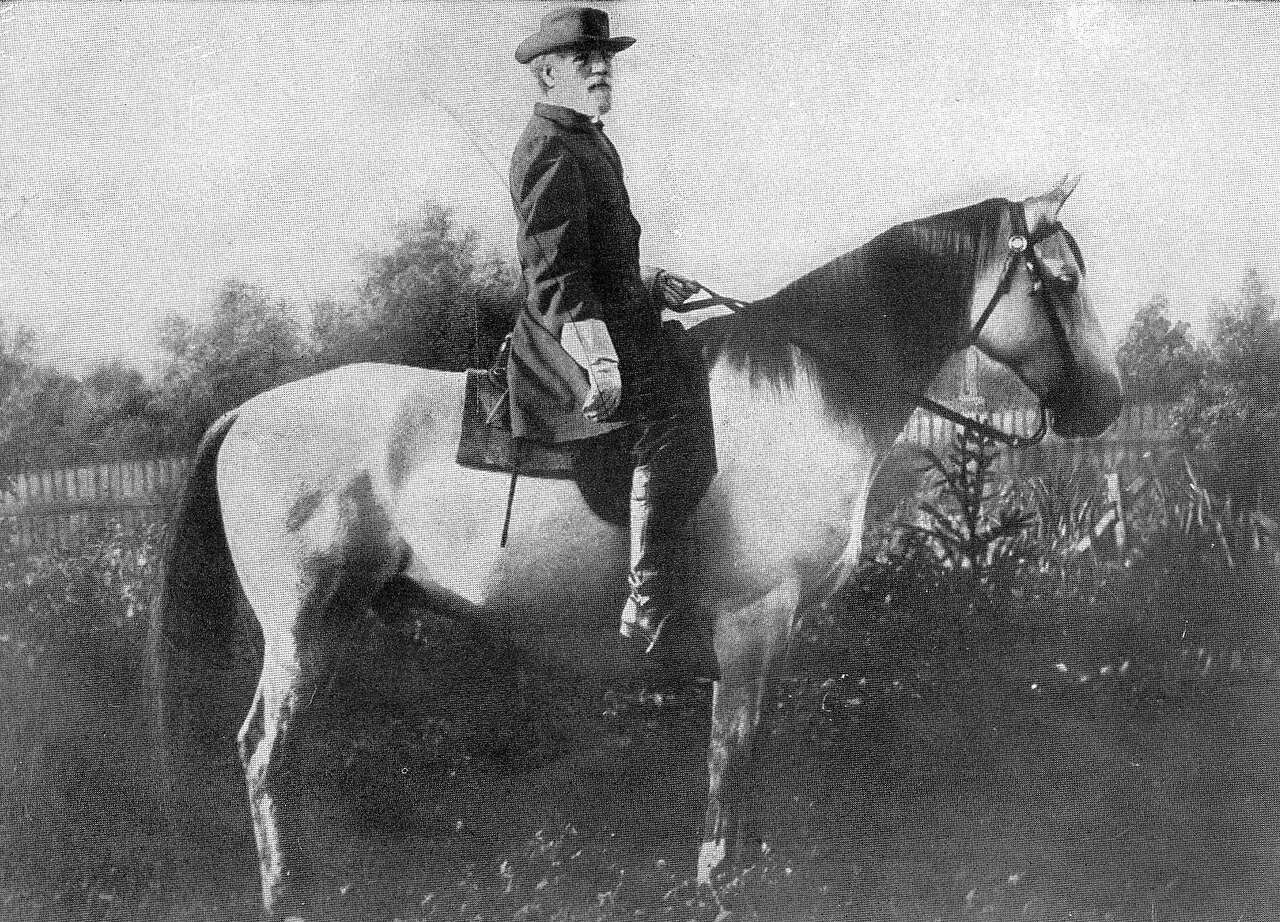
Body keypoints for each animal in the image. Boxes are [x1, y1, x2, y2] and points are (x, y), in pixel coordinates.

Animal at [149, 178, 1122, 919]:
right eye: (1063, 281)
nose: (1104, 405)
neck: (806, 392)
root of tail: (245, 414)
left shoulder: (775, 634)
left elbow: (751, 754)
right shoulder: (750, 623)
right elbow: (730, 755)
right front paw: (719, 881)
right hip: (303, 631)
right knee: (263, 754)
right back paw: (288, 893)